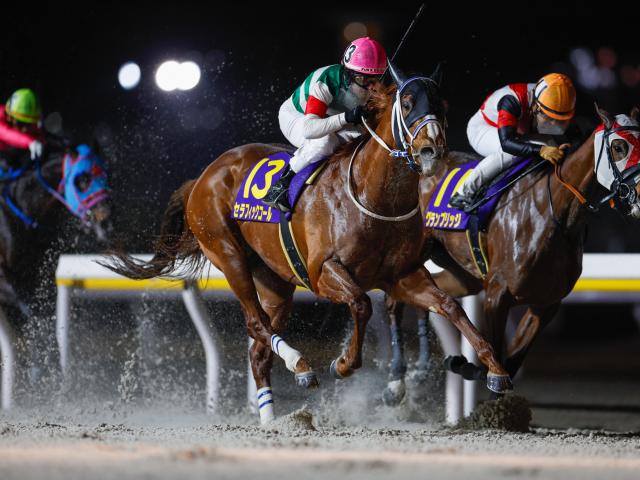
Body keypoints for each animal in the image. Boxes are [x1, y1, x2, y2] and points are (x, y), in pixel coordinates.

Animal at [102, 62, 515, 423]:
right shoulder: (323, 272)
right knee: (255, 323)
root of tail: (204, 176)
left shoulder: (403, 276)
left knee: (258, 350)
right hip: (228, 254)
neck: (375, 197)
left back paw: (272, 418)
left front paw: (495, 369)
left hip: (274, 281)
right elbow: (361, 304)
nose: (432, 150)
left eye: (442, 105)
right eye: (409, 103)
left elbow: (451, 307)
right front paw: (343, 364)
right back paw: (298, 363)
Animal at [381, 105, 640, 405]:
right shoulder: (497, 294)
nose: (639, 194)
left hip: (463, 275)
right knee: (392, 301)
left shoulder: (546, 304)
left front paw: (464, 365)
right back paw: (396, 381)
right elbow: (494, 359)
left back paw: (419, 370)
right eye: (619, 146)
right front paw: (471, 369)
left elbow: (512, 361)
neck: (555, 214)